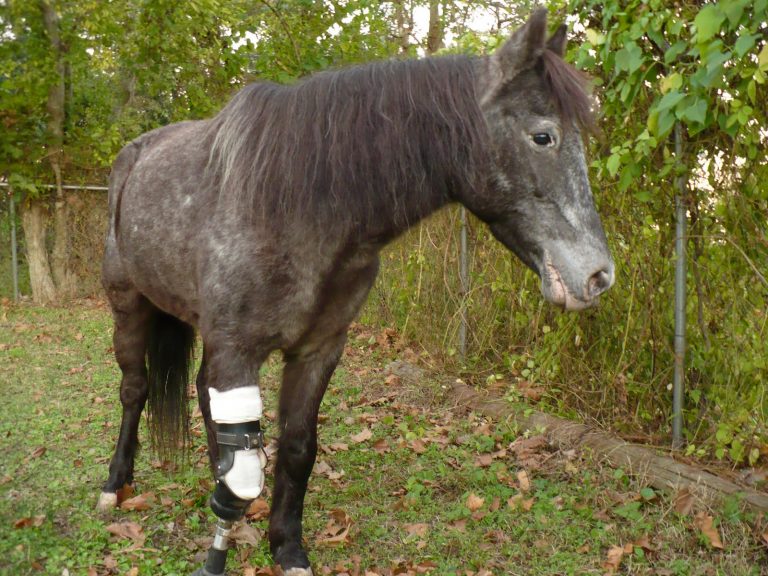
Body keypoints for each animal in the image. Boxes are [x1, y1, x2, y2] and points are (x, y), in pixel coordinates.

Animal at [98, 9, 614, 576]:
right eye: (543, 136)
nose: (599, 276)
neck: (297, 203)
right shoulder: (237, 349)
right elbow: (243, 463)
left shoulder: (317, 349)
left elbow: (297, 447)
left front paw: (287, 546)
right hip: (129, 307)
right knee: (135, 389)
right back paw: (115, 483)